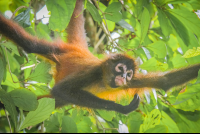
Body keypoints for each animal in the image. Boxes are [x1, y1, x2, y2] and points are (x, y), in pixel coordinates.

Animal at [0, 0, 199, 114]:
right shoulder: (94, 72)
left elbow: (166, 81)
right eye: (120, 68)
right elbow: (61, 89)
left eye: (128, 74)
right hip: (60, 51)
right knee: (30, 45)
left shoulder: (134, 82)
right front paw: (121, 108)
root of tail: (80, 50)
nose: (122, 76)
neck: (104, 80)